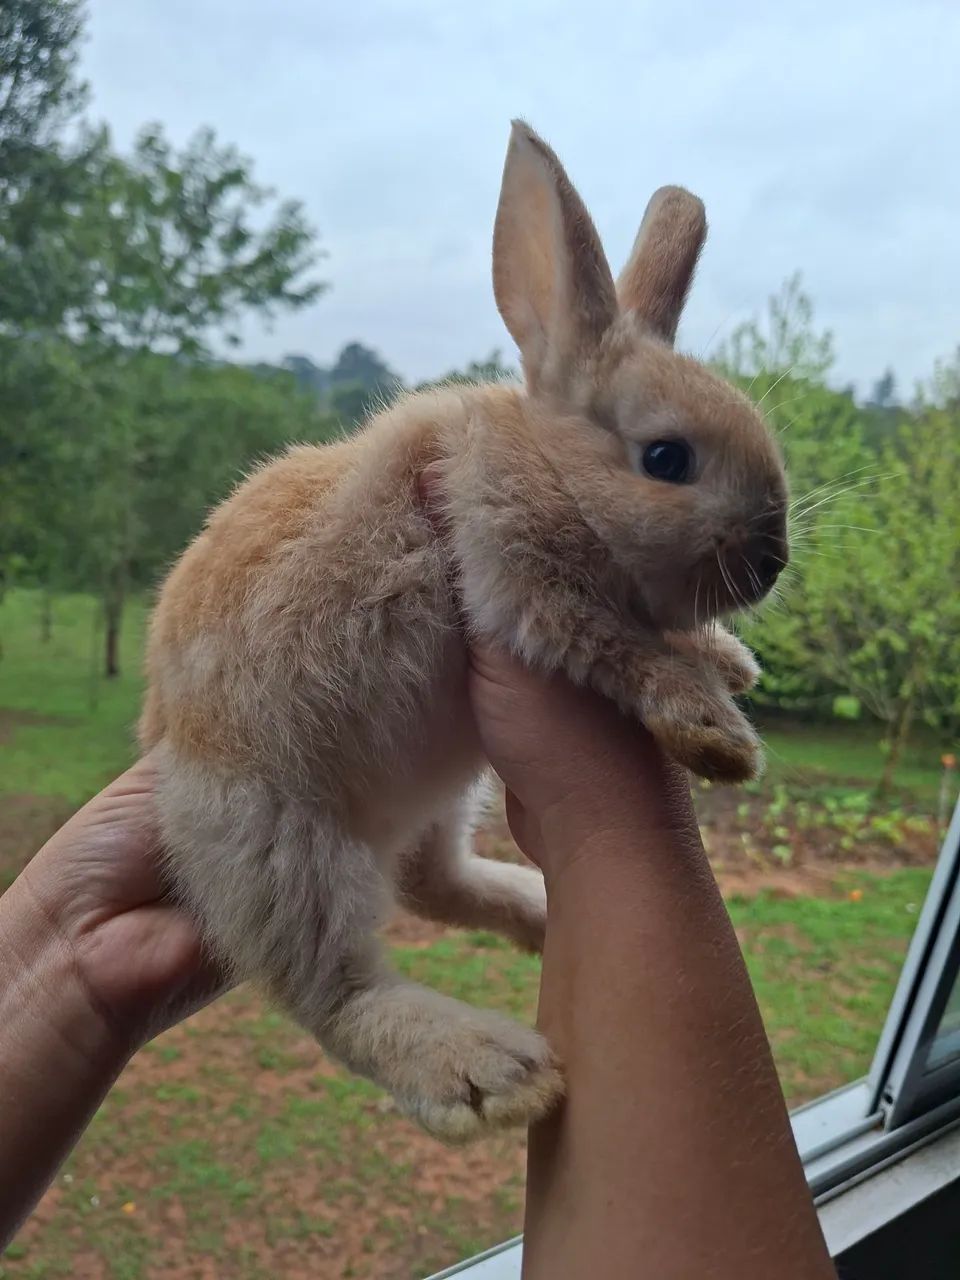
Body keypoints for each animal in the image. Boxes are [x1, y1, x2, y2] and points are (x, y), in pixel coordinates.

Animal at [140, 120, 788, 1144]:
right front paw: (716, 735)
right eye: (666, 458)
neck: (550, 468)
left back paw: (532, 910)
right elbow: (625, 651)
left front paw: (734, 659)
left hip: (446, 789)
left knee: (431, 884)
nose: (773, 565)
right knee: (334, 989)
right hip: (272, 841)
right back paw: (488, 1071)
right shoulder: (523, 590)